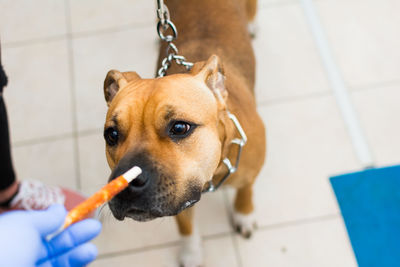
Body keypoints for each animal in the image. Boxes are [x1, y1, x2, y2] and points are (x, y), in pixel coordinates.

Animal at [103, 0, 266, 266]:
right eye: (112, 135)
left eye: (179, 128)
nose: (124, 185)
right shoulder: (180, 199)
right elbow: (185, 226)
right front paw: (192, 252)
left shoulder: (250, 168)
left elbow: (246, 189)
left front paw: (244, 214)